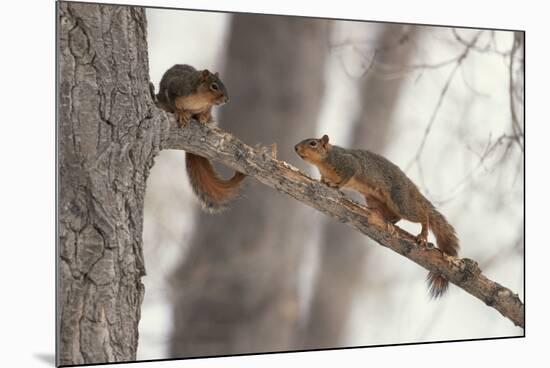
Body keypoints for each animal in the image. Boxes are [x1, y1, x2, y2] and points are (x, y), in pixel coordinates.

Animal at [151, 64, 246, 211]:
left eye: (223, 84)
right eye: (214, 86)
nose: (227, 99)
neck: (200, 99)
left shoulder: (207, 107)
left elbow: (205, 112)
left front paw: (203, 119)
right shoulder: (174, 88)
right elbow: (174, 104)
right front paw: (181, 113)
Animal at [298, 134, 462, 298]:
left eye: (313, 143)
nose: (295, 148)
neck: (324, 161)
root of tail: (411, 187)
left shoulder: (349, 164)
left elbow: (347, 177)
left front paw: (335, 185)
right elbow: (323, 180)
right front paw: (323, 182)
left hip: (400, 200)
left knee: (422, 214)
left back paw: (422, 234)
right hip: (375, 200)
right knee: (396, 216)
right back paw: (386, 220)